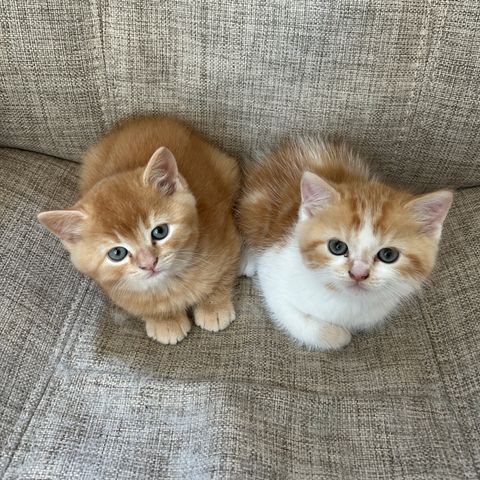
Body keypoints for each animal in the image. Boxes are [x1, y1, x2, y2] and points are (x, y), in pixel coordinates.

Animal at [38, 118, 240, 346]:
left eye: (160, 231)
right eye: (117, 253)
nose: (149, 263)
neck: (171, 282)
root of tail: (143, 119)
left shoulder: (228, 238)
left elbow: (224, 275)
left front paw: (213, 305)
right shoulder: (116, 291)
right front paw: (165, 320)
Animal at [240, 137, 454, 350]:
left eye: (388, 255)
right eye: (337, 247)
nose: (358, 273)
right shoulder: (273, 273)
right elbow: (297, 318)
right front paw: (339, 335)